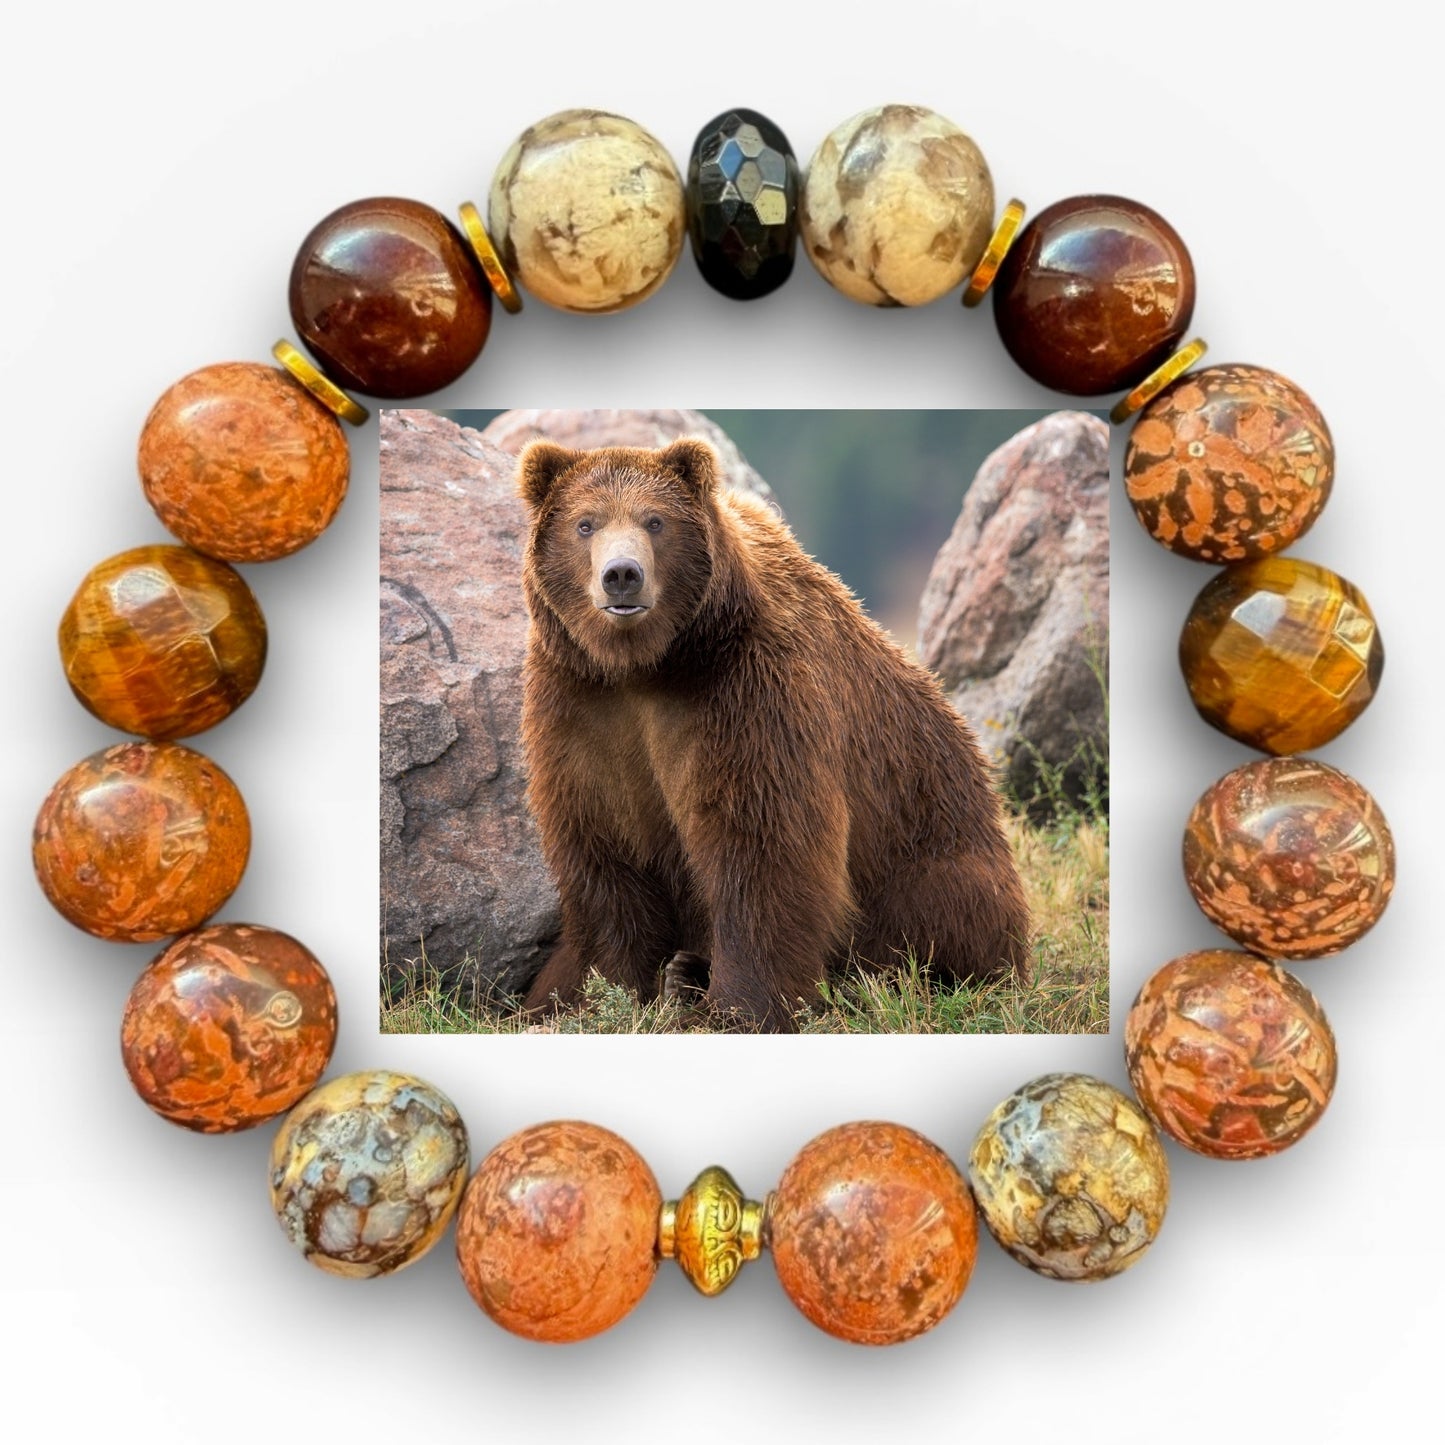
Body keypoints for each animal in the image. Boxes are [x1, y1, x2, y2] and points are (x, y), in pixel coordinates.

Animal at [516, 436, 1028, 1030]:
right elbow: (601, 845)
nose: (622, 574)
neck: (650, 666)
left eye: (655, 520)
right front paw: (602, 993)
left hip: (933, 848)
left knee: (937, 911)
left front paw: (739, 1006)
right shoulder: (582, 709)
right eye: (585, 524)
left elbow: (764, 844)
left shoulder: (748, 693)